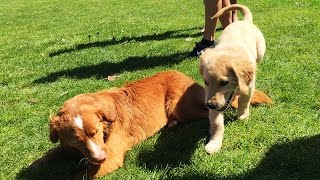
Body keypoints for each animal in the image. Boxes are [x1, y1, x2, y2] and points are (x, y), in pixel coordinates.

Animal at [47, 70, 270, 179]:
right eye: (77, 141)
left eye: (95, 133)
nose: (99, 158)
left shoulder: (112, 157)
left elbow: (78, 177)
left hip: (182, 106)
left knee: (214, 112)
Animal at [200, 3, 270, 154]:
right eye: (206, 82)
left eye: (224, 82)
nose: (210, 105)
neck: (229, 52)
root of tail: (245, 21)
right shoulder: (212, 98)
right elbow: (216, 123)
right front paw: (214, 143)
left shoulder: (249, 86)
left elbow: (244, 100)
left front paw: (242, 115)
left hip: (261, 51)